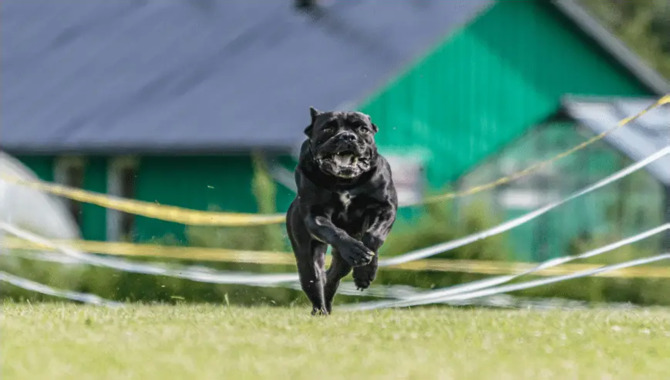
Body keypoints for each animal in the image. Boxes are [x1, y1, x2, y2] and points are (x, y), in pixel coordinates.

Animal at [284, 107, 400, 314]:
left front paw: (365, 271)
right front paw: (356, 250)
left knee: (332, 275)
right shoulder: (315, 215)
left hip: (342, 261)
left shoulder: (384, 207)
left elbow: (374, 236)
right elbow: (334, 231)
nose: (347, 136)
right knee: (315, 280)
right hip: (306, 257)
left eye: (362, 129)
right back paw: (320, 311)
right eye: (328, 128)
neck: (345, 182)